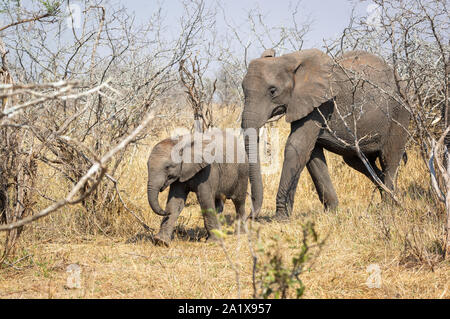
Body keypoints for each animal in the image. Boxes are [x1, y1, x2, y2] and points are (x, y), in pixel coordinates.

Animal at [243, 48, 412, 221]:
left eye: (272, 91)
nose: (250, 217)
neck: (289, 60)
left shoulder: (322, 103)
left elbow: (297, 147)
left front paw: (280, 218)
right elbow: (312, 154)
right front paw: (332, 212)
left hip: (400, 113)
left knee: (388, 158)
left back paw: (388, 207)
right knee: (359, 162)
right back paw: (397, 199)